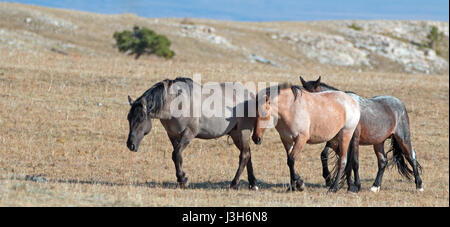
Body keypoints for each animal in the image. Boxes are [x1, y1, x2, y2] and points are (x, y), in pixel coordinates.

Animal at [127, 77, 260, 189]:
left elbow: (176, 154)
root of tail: (250, 95)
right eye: (129, 118)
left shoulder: (189, 133)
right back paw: (252, 183)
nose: (130, 145)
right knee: (248, 154)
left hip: (243, 132)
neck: (177, 103)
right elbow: (177, 156)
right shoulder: (172, 135)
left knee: (244, 156)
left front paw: (182, 179)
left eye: (141, 119)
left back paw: (234, 183)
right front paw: (181, 178)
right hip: (235, 134)